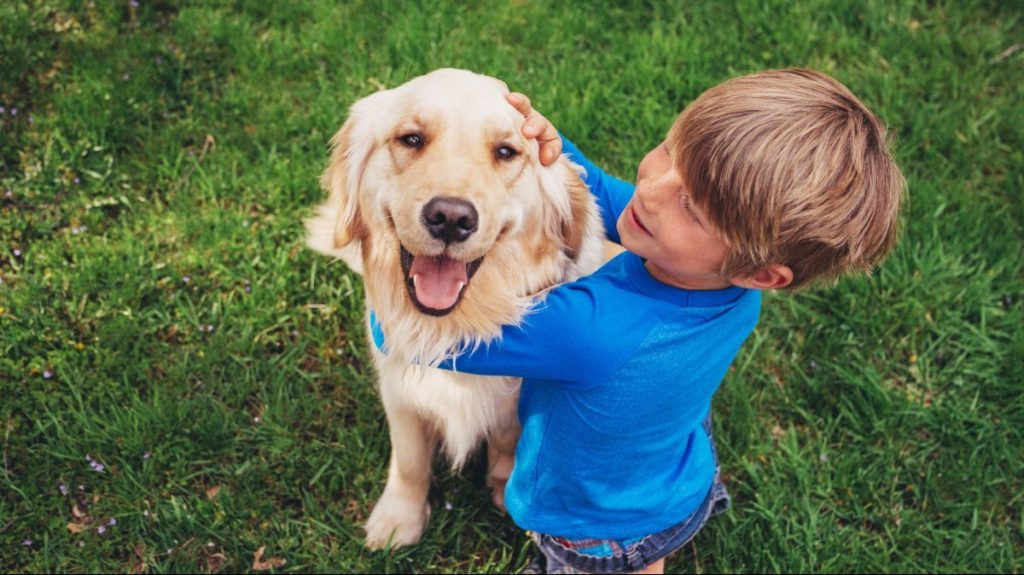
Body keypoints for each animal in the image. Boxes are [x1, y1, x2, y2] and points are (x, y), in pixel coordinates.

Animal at [303, 67, 606, 544]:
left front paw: (504, 487)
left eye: (506, 151)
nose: (450, 218)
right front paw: (400, 518)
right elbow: (409, 459)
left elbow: (507, 438)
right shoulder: (399, 391)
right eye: (410, 138)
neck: (451, 330)